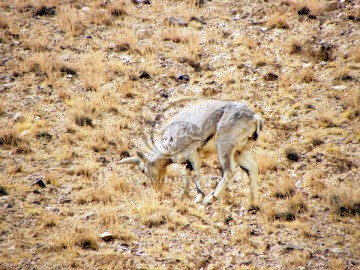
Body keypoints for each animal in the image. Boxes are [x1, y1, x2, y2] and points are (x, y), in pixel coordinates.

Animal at [118, 100, 262, 206]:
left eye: (143, 170)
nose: (156, 188)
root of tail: (254, 118)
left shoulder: (192, 152)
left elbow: (196, 172)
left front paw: (199, 196)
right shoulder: (189, 158)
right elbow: (188, 171)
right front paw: (184, 193)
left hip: (225, 146)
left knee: (229, 171)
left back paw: (211, 198)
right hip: (241, 151)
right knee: (251, 167)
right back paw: (255, 200)